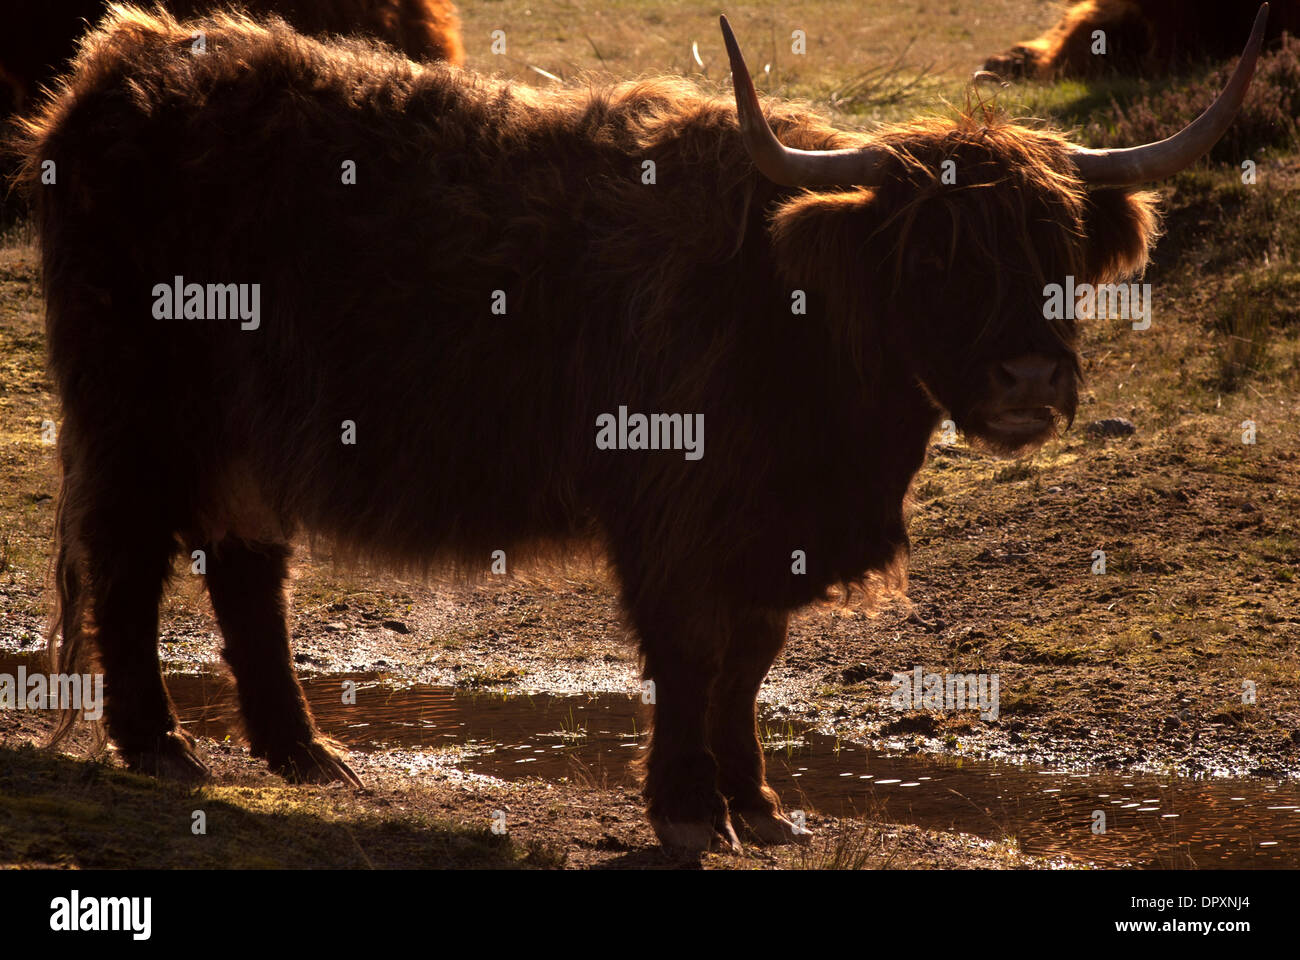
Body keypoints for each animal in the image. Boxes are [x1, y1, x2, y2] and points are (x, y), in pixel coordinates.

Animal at [14, 4, 1264, 853]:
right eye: (931, 258)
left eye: (1060, 248)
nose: (1028, 375)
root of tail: (123, 61)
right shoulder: (674, 509)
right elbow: (693, 652)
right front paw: (686, 805)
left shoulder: (770, 537)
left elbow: (750, 664)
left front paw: (760, 806)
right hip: (135, 410)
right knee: (130, 559)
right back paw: (160, 743)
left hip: (248, 427)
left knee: (243, 568)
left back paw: (307, 754)